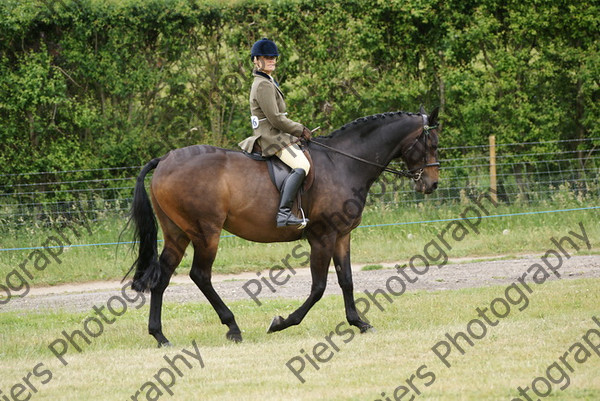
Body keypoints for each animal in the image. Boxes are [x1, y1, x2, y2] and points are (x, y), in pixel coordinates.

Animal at [123, 107, 440, 346]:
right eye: (432, 144)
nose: (432, 184)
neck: (342, 163)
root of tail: (165, 159)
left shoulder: (342, 236)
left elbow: (346, 280)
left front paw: (359, 322)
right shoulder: (323, 237)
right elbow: (319, 287)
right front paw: (282, 322)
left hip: (178, 234)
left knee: (162, 277)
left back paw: (160, 336)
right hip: (206, 233)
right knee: (200, 275)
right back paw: (232, 327)